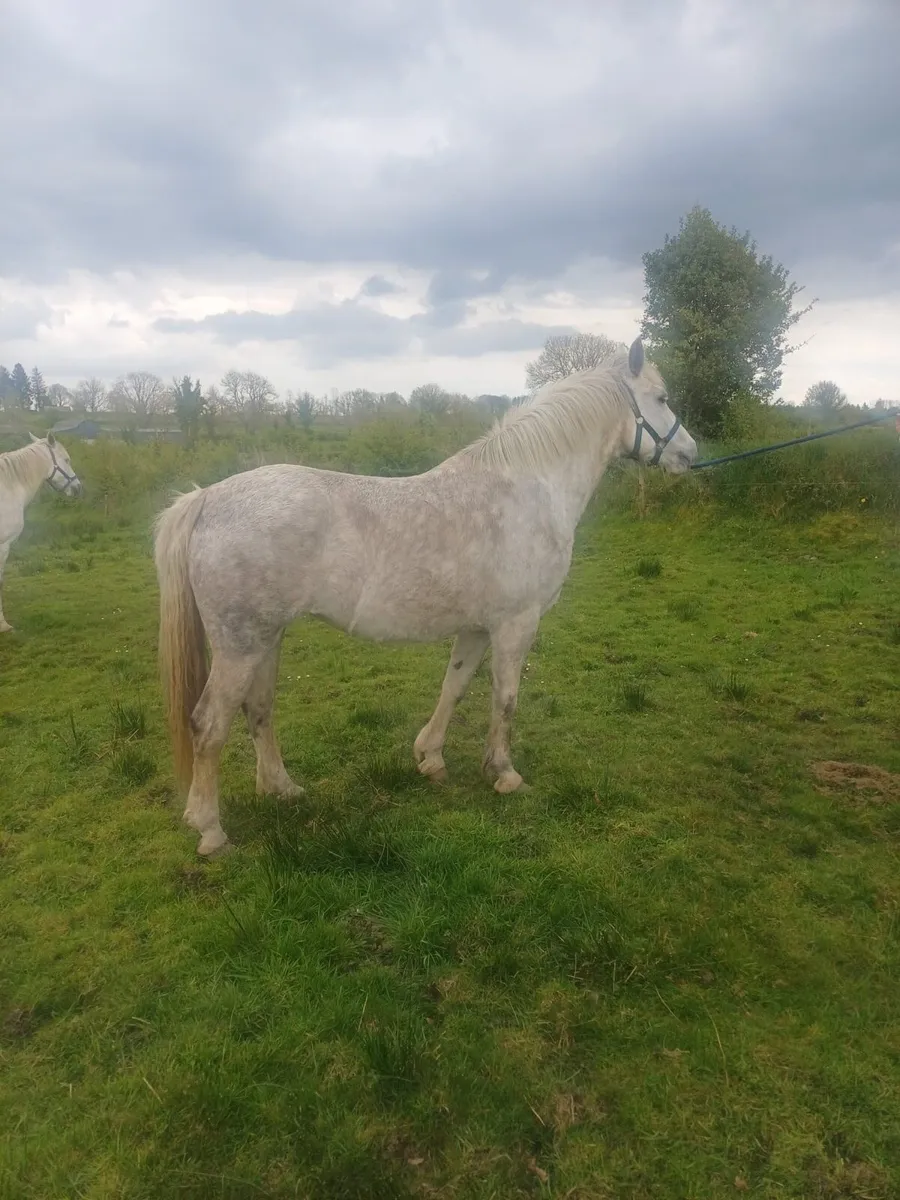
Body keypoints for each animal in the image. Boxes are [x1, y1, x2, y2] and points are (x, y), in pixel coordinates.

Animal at [154, 337, 698, 857]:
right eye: (661, 398)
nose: (689, 454)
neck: (527, 490)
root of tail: (207, 498)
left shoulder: (478, 627)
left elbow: (453, 687)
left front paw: (430, 759)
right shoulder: (516, 623)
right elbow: (505, 698)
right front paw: (504, 774)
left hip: (267, 637)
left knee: (259, 709)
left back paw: (282, 789)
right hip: (239, 645)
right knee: (209, 724)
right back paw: (210, 830)